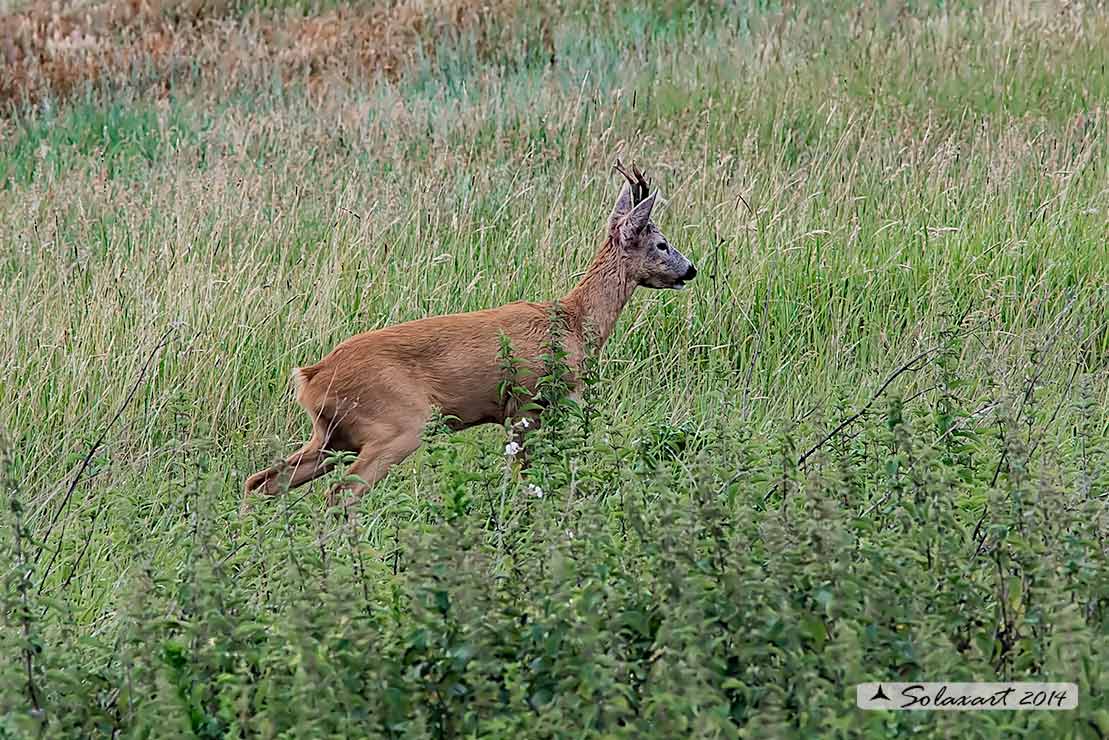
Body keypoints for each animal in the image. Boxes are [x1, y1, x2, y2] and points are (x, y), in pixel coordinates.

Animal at [243, 161, 696, 510]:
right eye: (661, 243)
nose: (690, 269)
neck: (573, 322)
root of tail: (311, 377)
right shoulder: (528, 403)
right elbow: (526, 476)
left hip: (331, 436)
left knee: (262, 481)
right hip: (397, 424)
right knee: (339, 495)